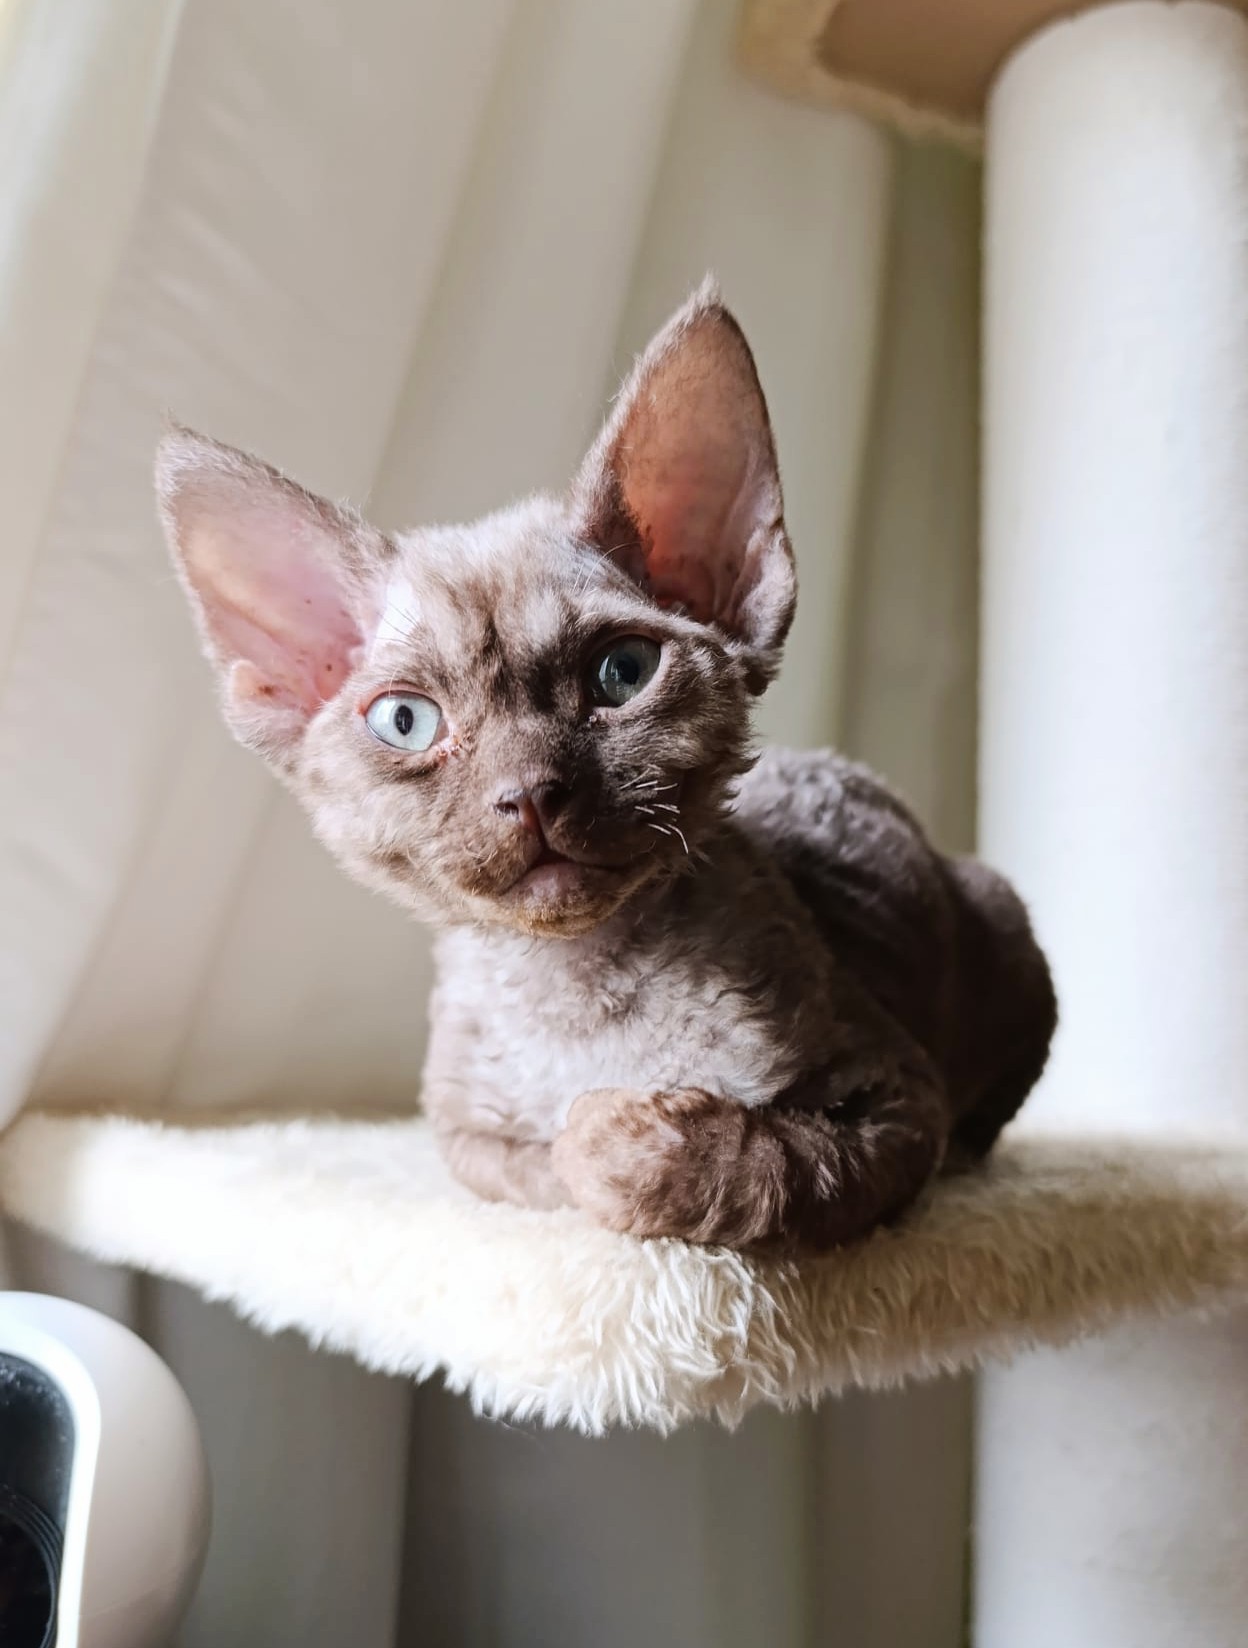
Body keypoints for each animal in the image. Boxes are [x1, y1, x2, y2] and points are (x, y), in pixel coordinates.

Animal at [155, 281, 1056, 1253]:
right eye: (407, 721)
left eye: (621, 672)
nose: (528, 793)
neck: (574, 999)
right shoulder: (458, 1130)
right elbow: (537, 1168)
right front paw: (589, 1134)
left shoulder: (896, 1097)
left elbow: (744, 1161)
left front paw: (627, 1129)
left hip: (1003, 930)